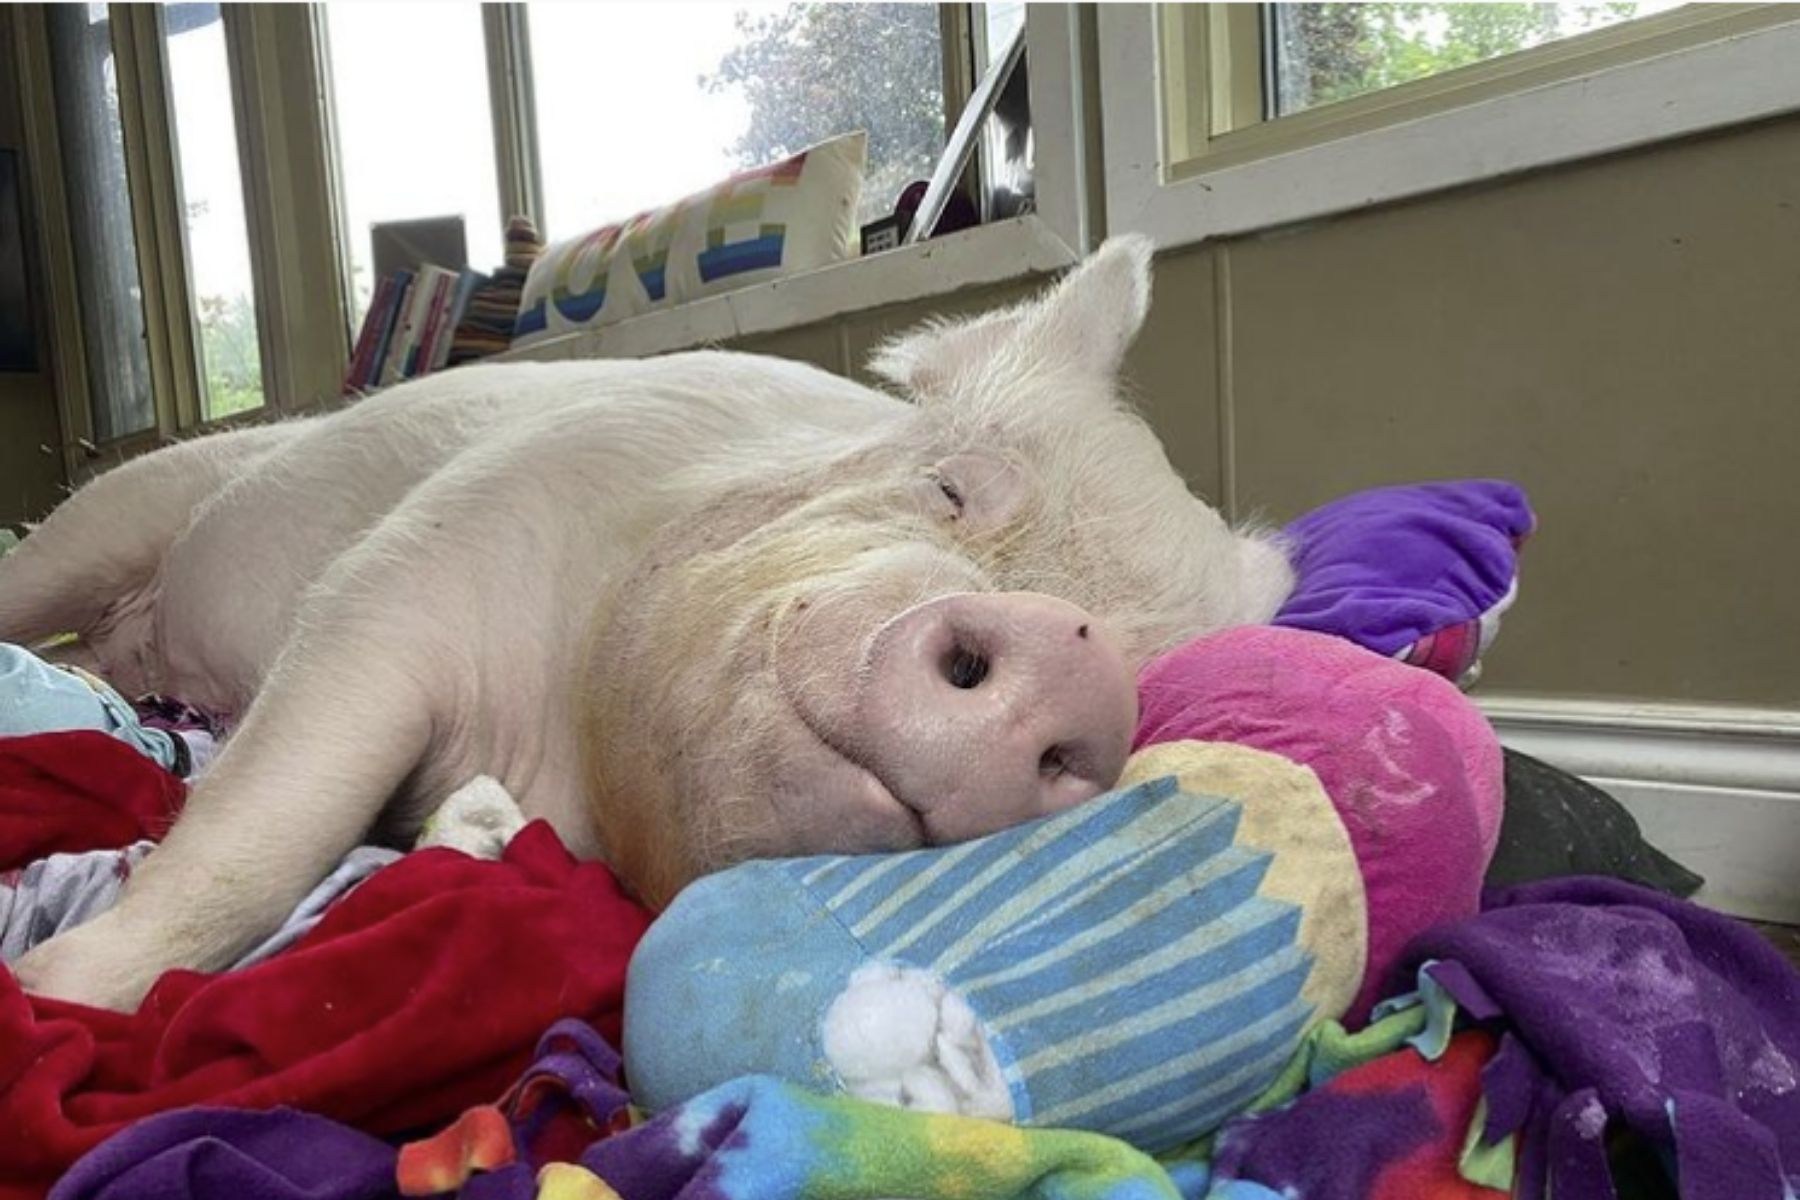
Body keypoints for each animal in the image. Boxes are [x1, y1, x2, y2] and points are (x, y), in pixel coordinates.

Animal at [0, 236, 1293, 1011]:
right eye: (950, 486)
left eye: (1141, 669)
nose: (1063, 657)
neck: (566, 766)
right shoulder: (410, 573)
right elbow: (263, 832)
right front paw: (48, 997)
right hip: (117, 511)